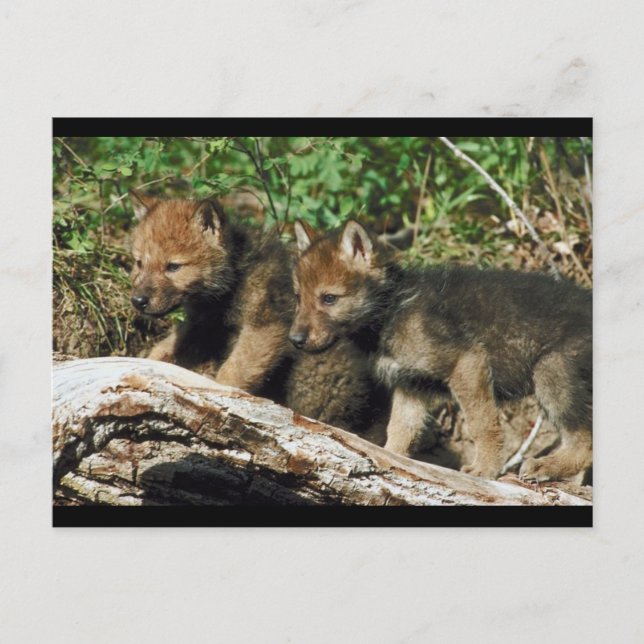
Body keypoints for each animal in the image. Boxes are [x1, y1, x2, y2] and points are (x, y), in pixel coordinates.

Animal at [129, 191, 385, 433]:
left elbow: (230, 375)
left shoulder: (264, 329)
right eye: (139, 263)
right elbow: (162, 350)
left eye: (173, 266)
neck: (234, 279)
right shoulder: (200, 326)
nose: (138, 301)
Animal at [290, 219, 592, 482]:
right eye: (298, 298)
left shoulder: (468, 362)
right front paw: (388, 463)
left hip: (551, 372)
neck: (391, 311)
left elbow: (482, 425)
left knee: (584, 442)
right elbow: (399, 432)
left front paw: (486, 469)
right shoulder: (410, 386)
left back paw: (544, 466)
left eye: (329, 299)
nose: (295, 340)